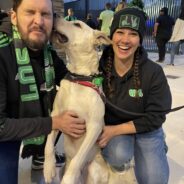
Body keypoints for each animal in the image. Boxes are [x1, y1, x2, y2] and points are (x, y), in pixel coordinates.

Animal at [43, 17, 137, 184]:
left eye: (77, 24)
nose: (55, 15)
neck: (79, 78)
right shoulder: (56, 115)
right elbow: (48, 145)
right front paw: (48, 168)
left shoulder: (94, 126)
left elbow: (78, 158)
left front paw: (68, 179)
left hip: (94, 170)